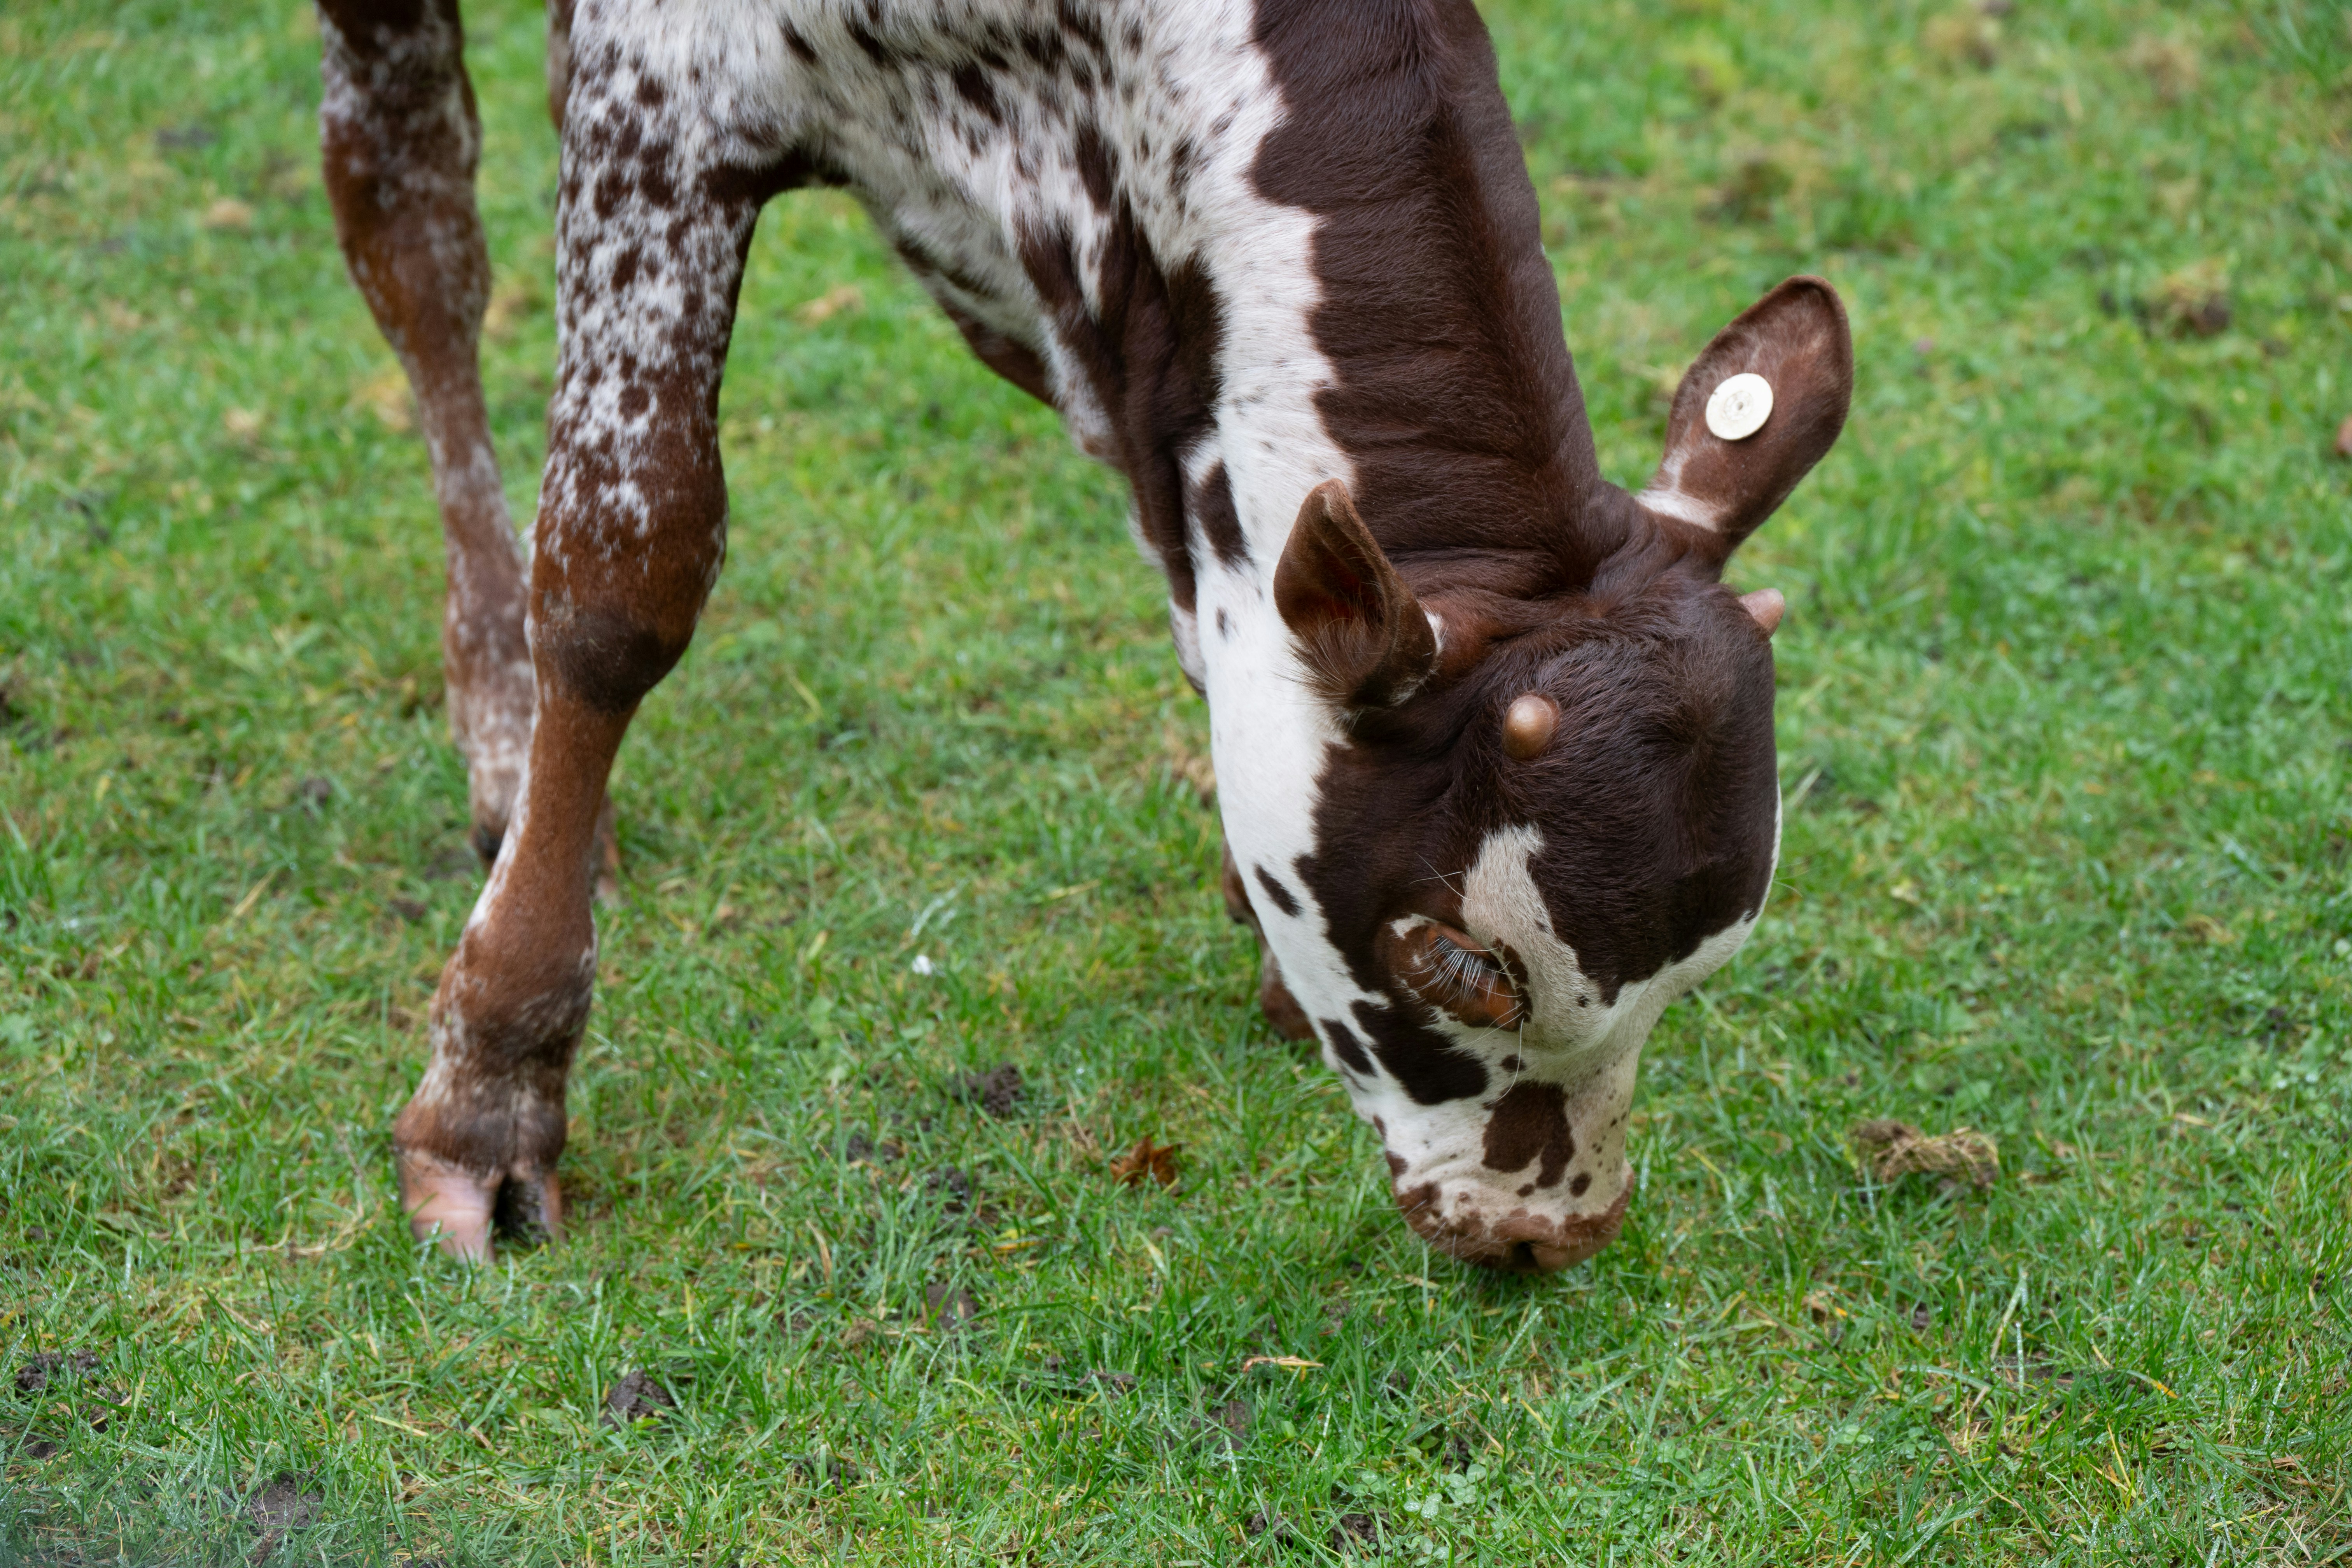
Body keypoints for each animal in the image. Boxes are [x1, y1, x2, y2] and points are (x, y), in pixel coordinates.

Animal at [317, 0, 1851, 1272]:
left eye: (1698, 969)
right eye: (1455, 961)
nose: (1546, 1232)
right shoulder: (666, 86)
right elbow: (619, 585)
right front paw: (493, 1087)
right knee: (413, 231)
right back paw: (502, 737)